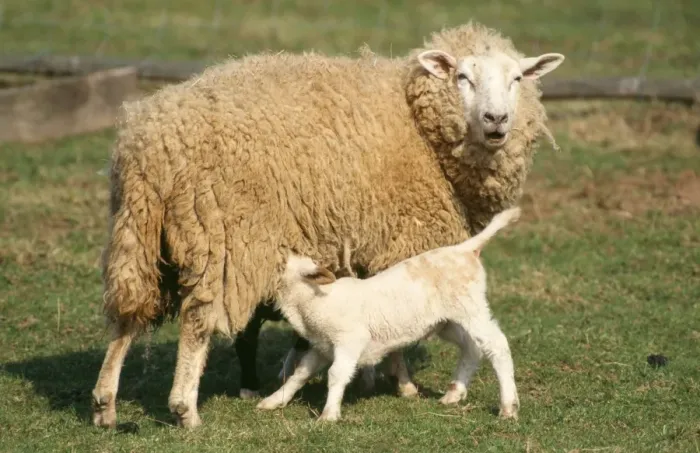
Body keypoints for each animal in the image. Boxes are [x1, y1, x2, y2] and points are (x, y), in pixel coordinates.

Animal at [257, 207, 522, 421]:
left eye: (282, 260)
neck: (312, 302)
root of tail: (465, 250)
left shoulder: (350, 339)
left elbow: (336, 374)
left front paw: (329, 415)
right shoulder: (322, 346)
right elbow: (300, 373)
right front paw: (274, 401)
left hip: (471, 306)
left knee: (497, 345)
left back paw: (508, 407)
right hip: (447, 321)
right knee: (472, 347)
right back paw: (453, 394)